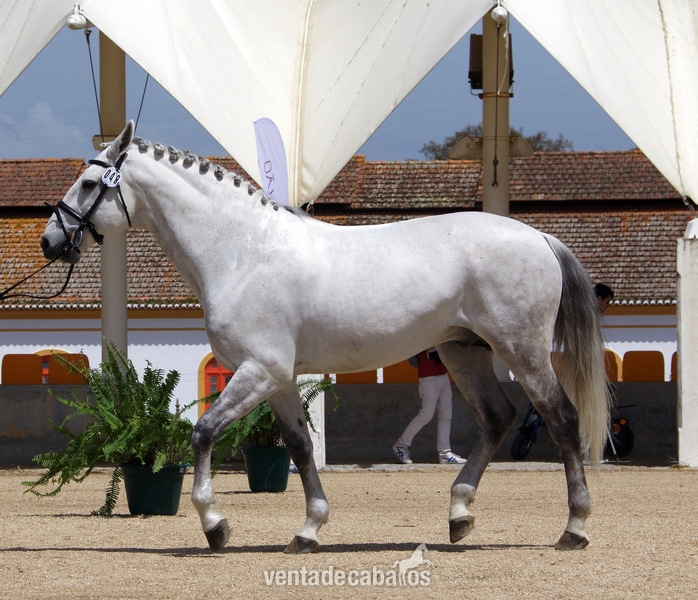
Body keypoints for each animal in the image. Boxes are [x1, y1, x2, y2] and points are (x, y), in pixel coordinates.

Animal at [40, 121, 609, 554]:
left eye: (88, 184)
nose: (50, 241)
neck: (243, 250)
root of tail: (539, 236)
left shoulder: (259, 370)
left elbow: (203, 433)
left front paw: (215, 526)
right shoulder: (278, 378)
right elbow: (299, 447)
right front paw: (309, 529)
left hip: (523, 352)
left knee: (562, 419)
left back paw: (575, 528)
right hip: (462, 351)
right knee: (496, 418)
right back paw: (459, 513)